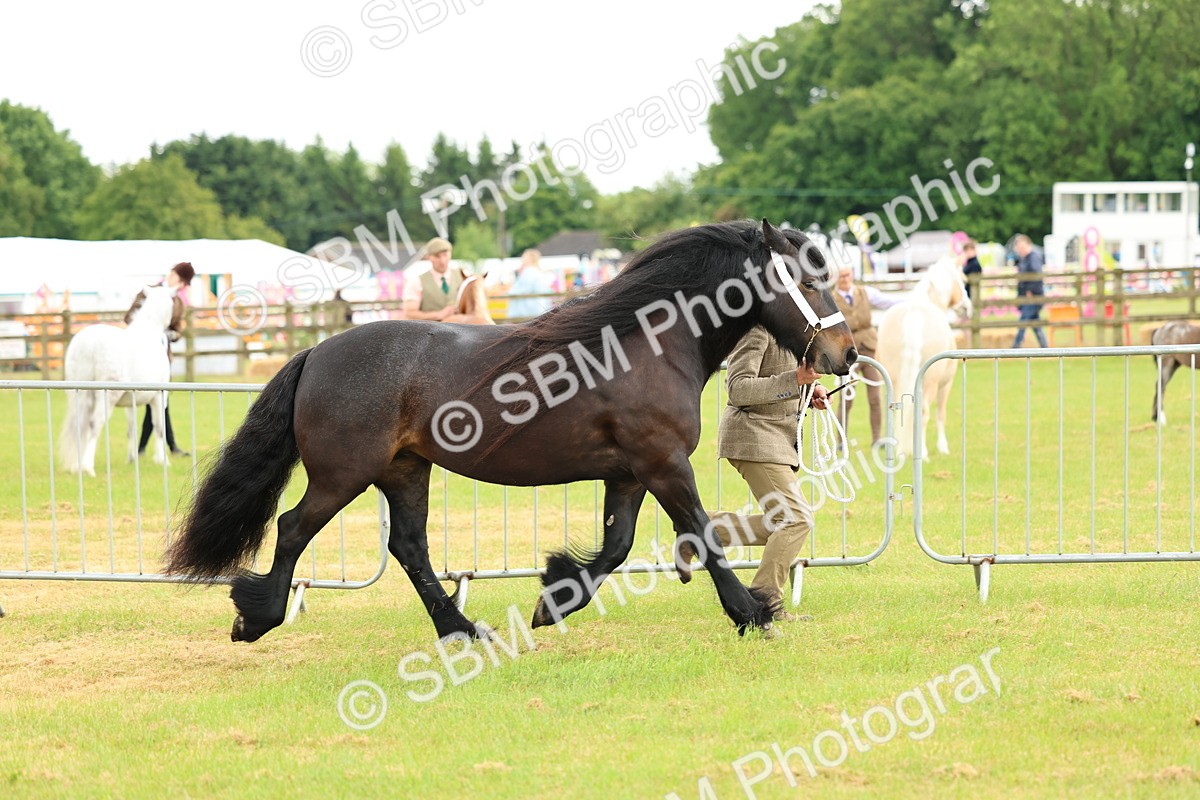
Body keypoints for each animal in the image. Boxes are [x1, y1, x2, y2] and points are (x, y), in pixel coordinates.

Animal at [59, 284, 177, 476]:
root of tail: (88, 345)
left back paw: (76, 466)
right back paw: (87, 467)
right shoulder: (159, 398)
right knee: (94, 424)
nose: (174, 331)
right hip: (107, 397)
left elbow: (131, 429)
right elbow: (160, 427)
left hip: (79, 395)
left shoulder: (130, 402)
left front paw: (132, 459)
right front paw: (163, 461)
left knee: (79, 426)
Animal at [166, 219, 858, 643]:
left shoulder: (630, 473)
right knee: (293, 528)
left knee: (409, 548)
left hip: (404, 471)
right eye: (810, 279)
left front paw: (553, 599)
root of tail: (317, 352)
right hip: (345, 476)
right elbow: (704, 536)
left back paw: (463, 630)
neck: (648, 345)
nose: (846, 355)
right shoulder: (663, 464)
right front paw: (753, 613)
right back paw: (257, 619)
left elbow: (617, 547)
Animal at [875, 257, 971, 460]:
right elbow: (941, 415)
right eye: (963, 280)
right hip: (929, 382)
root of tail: (913, 315)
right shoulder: (945, 384)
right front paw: (943, 448)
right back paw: (923, 453)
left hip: (893, 380)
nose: (966, 307)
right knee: (924, 411)